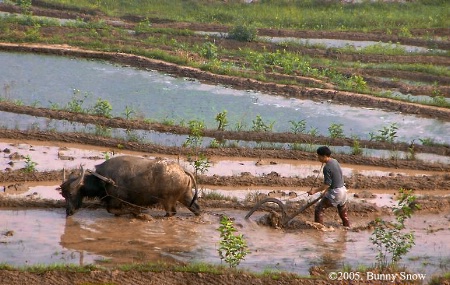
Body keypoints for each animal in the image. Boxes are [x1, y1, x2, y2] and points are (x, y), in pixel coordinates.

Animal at [59, 154, 200, 216]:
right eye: (63, 195)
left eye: (71, 193)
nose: (68, 212)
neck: (103, 180)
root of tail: (182, 170)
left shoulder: (116, 200)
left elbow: (112, 210)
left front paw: (134, 212)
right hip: (185, 195)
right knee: (196, 208)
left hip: (168, 201)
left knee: (171, 212)